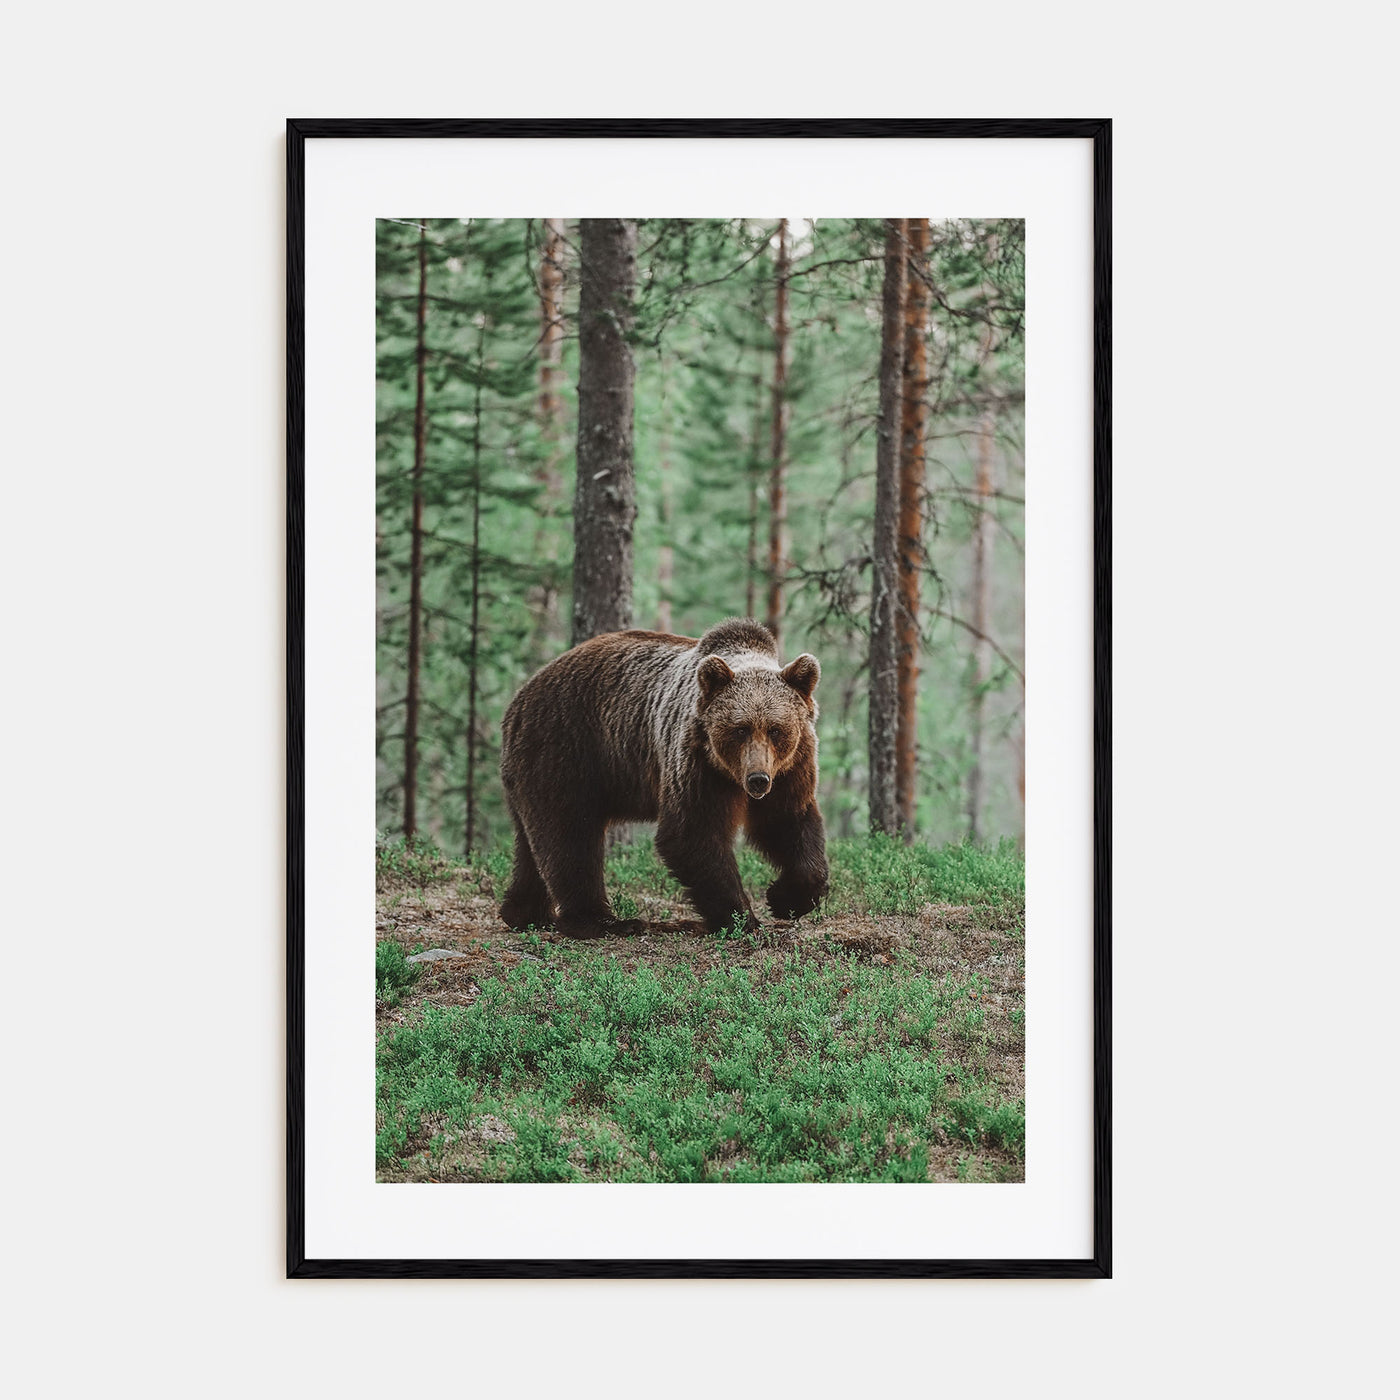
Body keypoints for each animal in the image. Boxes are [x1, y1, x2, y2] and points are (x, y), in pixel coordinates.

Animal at [498, 618, 829, 940]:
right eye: (740, 729)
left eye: (775, 729)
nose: (758, 779)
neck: (729, 774)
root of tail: (519, 698)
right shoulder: (696, 761)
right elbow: (691, 832)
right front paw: (742, 919)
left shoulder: (790, 767)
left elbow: (786, 821)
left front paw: (785, 899)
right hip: (567, 749)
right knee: (570, 835)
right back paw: (602, 921)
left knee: (532, 843)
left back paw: (524, 914)